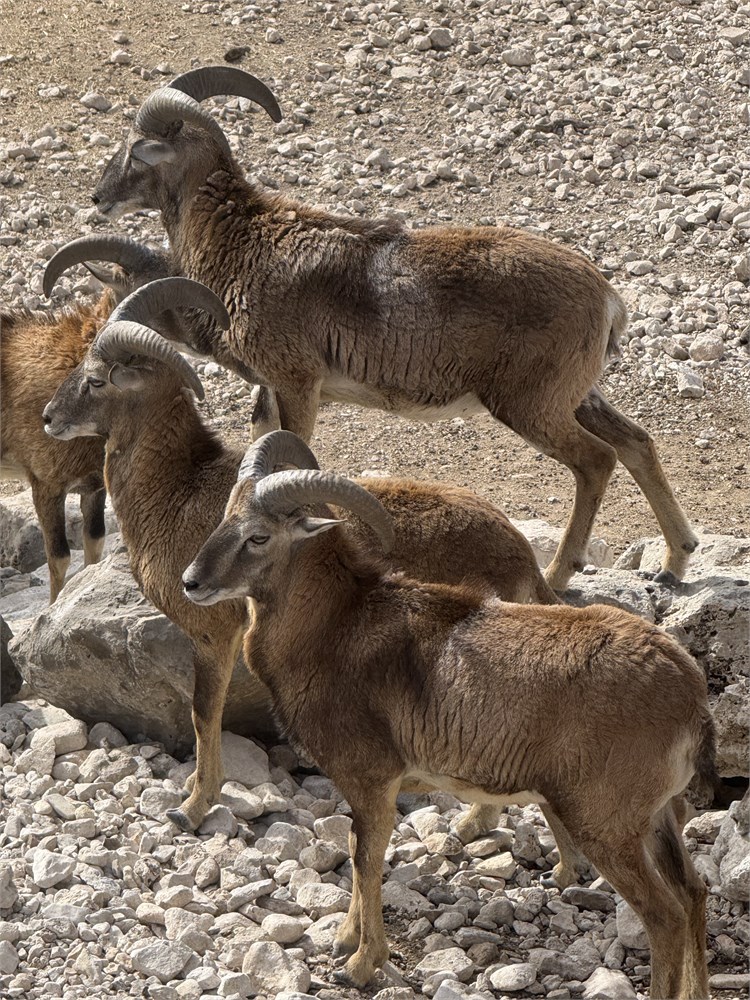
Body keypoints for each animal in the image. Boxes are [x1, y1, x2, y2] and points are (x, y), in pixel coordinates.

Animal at [41, 281, 561, 836]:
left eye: (95, 379)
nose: (49, 418)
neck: (174, 492)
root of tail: (520, 556)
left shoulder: (213, 635)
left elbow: (204, 716)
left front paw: (193, 807)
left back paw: (466, 827)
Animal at [90, 64, 699, 592]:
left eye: (136, 147)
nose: (99, 197)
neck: (244, 244)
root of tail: (607, 299)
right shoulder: (272, 391)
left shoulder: (296, 384)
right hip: (577, 395)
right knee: (637, 443)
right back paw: (673, 565)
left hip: (531, 406)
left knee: (596, 460)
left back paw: (558, 576)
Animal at [182, 454, 715, 999]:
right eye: (224, 518)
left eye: (259, 536)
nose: (191, 582)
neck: (333, 631)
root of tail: (690, 698)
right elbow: (356, 850)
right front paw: (345, 938)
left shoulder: (373, 781)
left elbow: (366, 859)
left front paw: (360, 964)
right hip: (658, 817)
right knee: (694, 894)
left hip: (607, 826)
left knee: (665, 917)